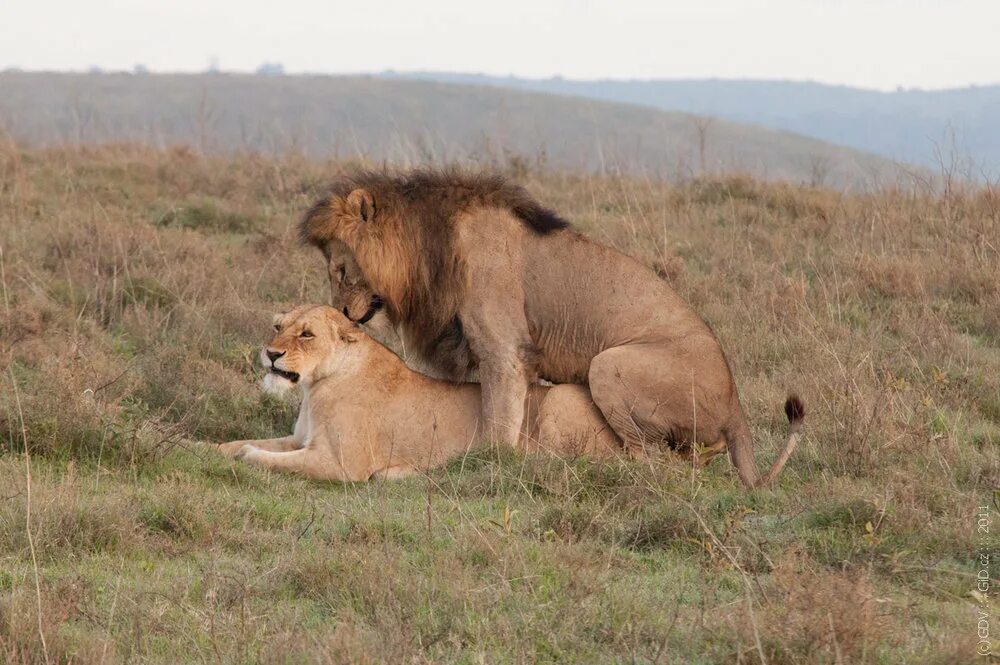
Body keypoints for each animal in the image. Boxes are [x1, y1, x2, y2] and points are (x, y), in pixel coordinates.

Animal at [217, 304, 624, 480]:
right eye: (278, 326)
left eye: (306, 334)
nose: (271, 353)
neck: (316, 386)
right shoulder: (300, 440)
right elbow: (240, 443)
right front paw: (209, 449)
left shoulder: (344, 465)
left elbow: (265, 457)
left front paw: (246, 456)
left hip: (559, 402)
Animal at [298, 169, 804, 486]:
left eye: (340, 269)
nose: (340, 312)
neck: (429, 249)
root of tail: (735, 402)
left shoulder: (503, 350)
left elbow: (497, 426)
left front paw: (488, 466)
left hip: (609, 365)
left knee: (652, 461)